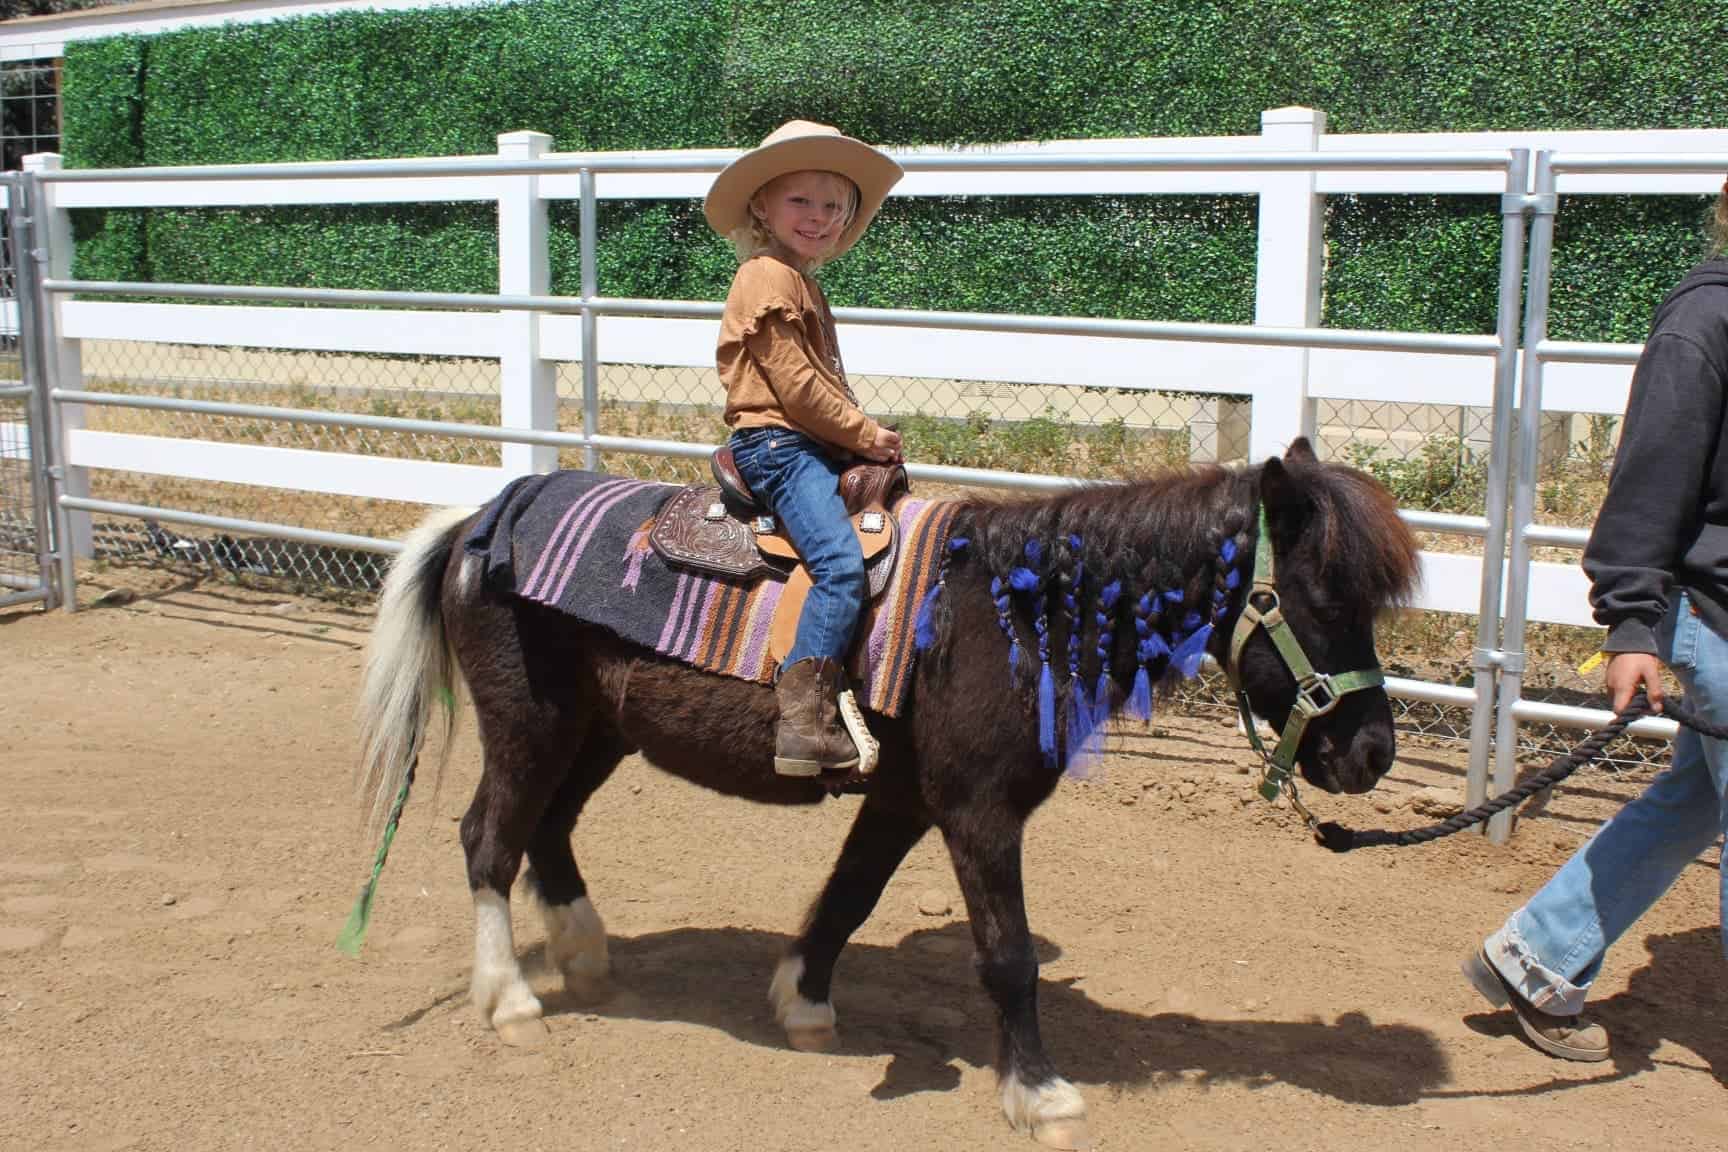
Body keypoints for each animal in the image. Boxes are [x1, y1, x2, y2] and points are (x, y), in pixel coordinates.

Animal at [354, 436, 1416, 1146]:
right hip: (528, 725)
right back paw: (510, 1000)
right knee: (489, 838)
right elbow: (1008, 956)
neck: (1015, 616)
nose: (1372, 754)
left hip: (594, 732)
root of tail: (481, 519)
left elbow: (851, 895)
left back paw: (583, 954)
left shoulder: (905, 798)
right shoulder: (979, 811)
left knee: (550, 830)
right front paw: (1041, 1094)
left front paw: (802, 1002)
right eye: (1324, 597)